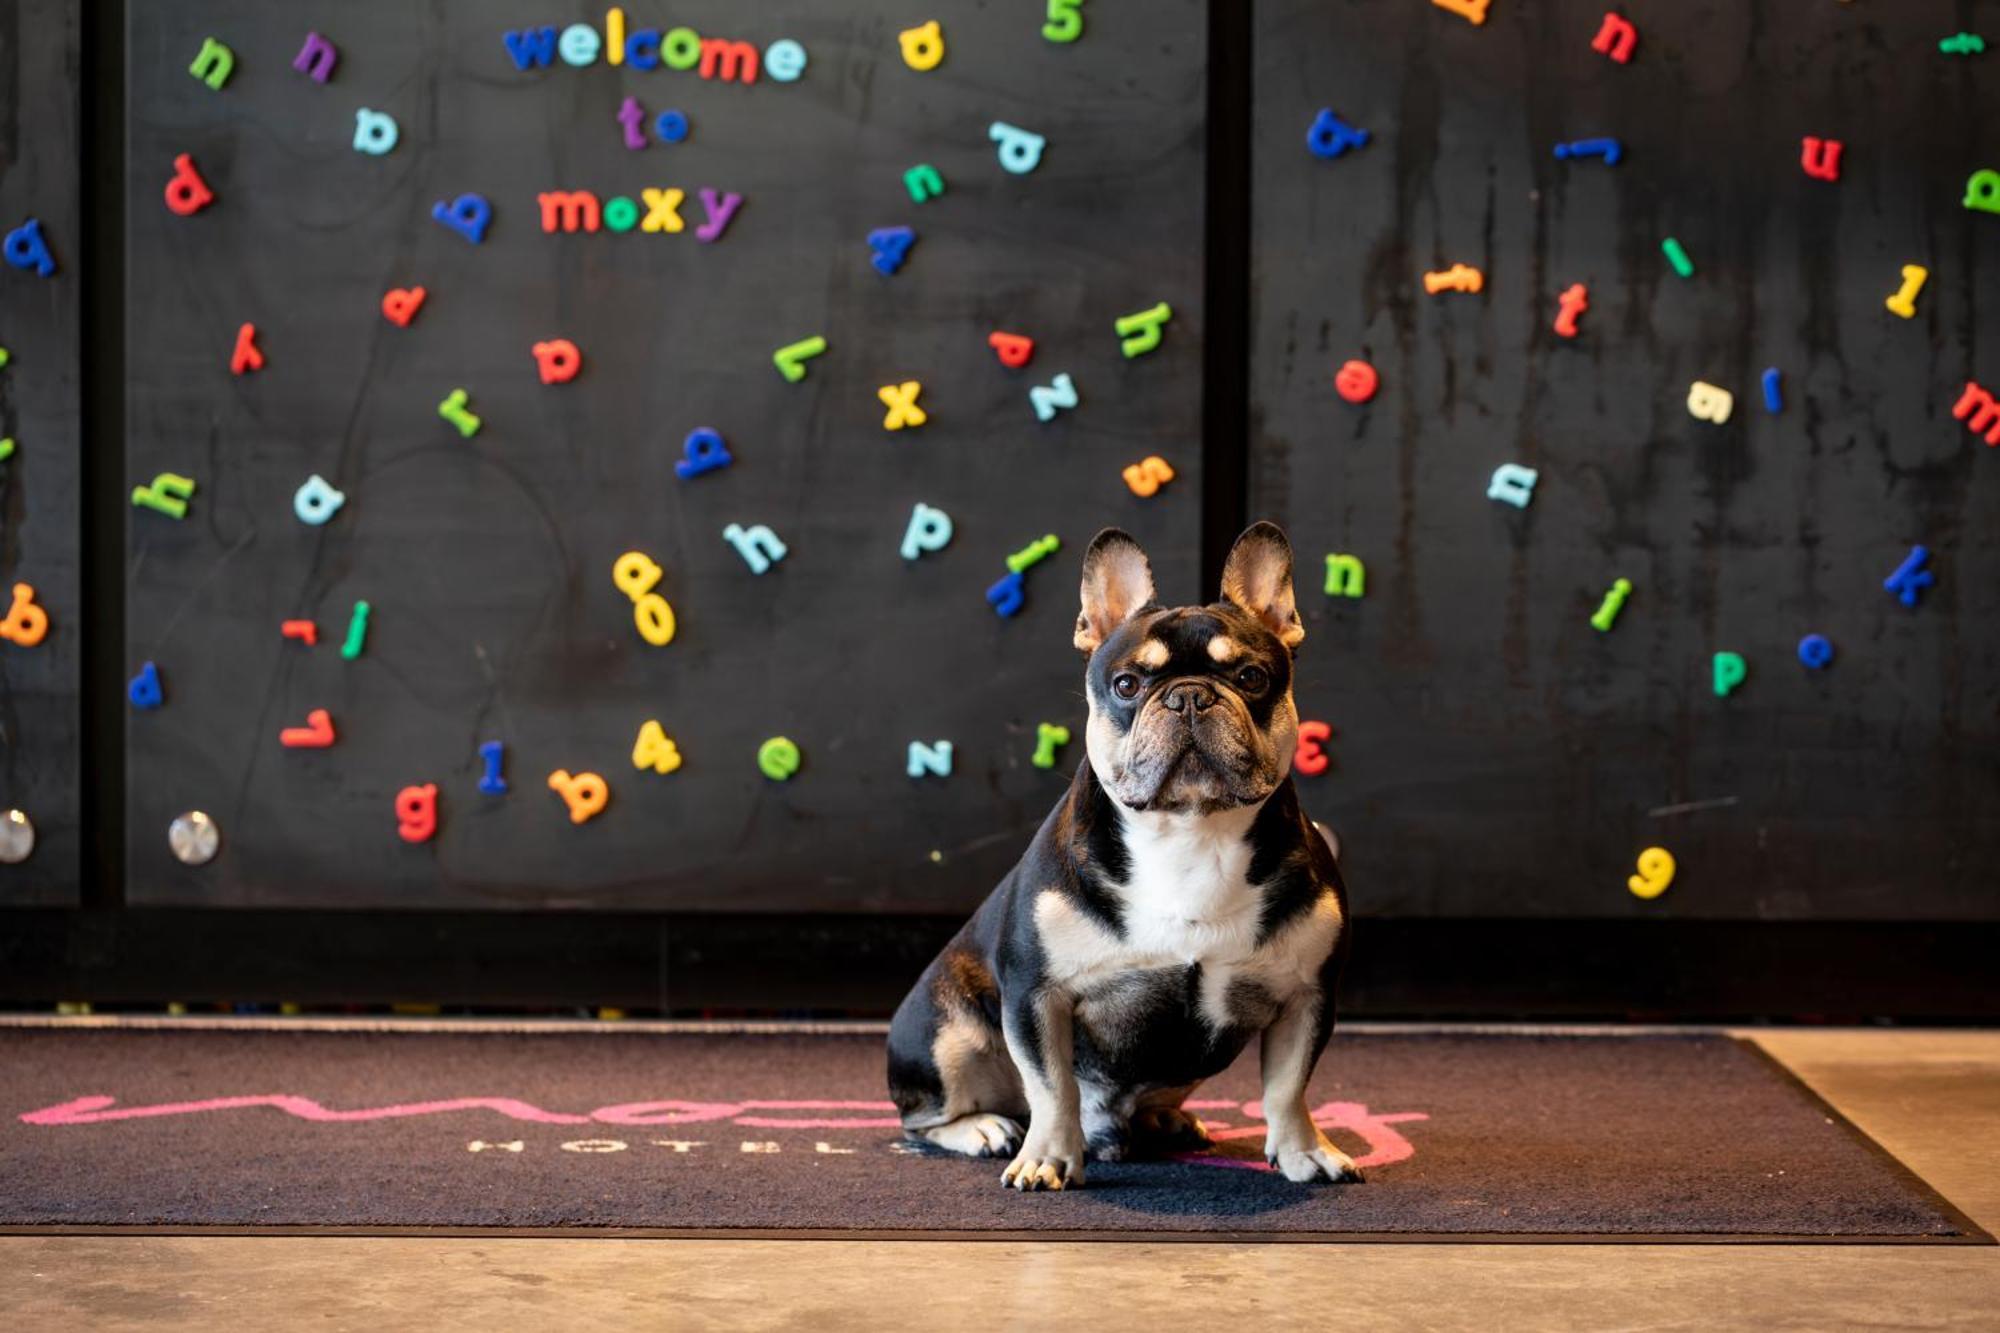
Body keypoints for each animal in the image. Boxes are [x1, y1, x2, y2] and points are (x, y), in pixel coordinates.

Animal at [892, 520, 1360, 1184]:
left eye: (1251, 678)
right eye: (1127, 685)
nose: (1188, 696)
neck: (1190, 831)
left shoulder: (1307, 996)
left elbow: (1288, 1086)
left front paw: (1304, 1151)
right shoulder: (1037, 994)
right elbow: (1052, 1086)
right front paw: (1047, 1158)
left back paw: (1164, 1119)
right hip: (945, 1033)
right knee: (927, 1118)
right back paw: (985, 1128)